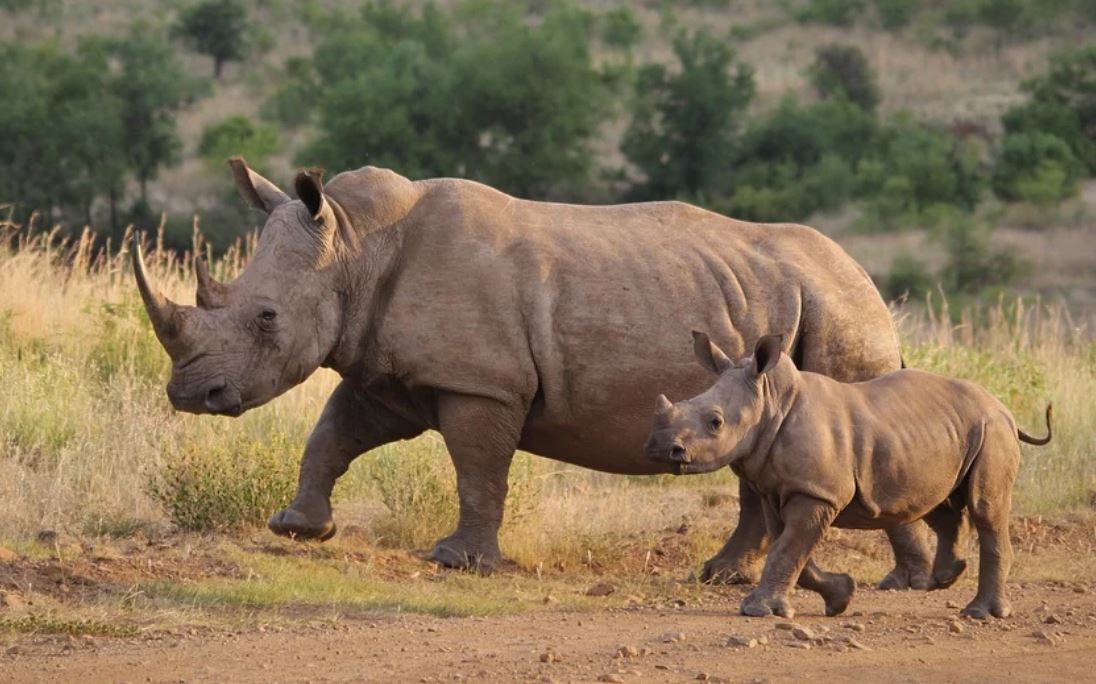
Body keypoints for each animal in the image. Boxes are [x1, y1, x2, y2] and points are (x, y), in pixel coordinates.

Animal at [132, 158, 934, 584]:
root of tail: (866, 280)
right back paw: (729, 576)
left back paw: (889, 580)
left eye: (267, 318)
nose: (189, 394)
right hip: (790, 310)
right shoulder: (388, 372)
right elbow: (332, 434)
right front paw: (299, 528)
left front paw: (459, 562)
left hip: (838, 314)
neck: (354, 247)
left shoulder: (480, 382)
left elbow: (477, 469)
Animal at [645, 333, 1052, 619]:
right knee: (937, 502)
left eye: (715, 422)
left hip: (992, 430)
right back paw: (945, 578)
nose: (660, 448)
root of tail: (1004, 407)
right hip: (948, 432)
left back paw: (980, 613)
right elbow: (791, 549)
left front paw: (756, 610)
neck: (771, 401)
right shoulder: (779, 490)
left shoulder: (817, 492)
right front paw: (841, 596)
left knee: (985, 509)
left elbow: (787, 549)